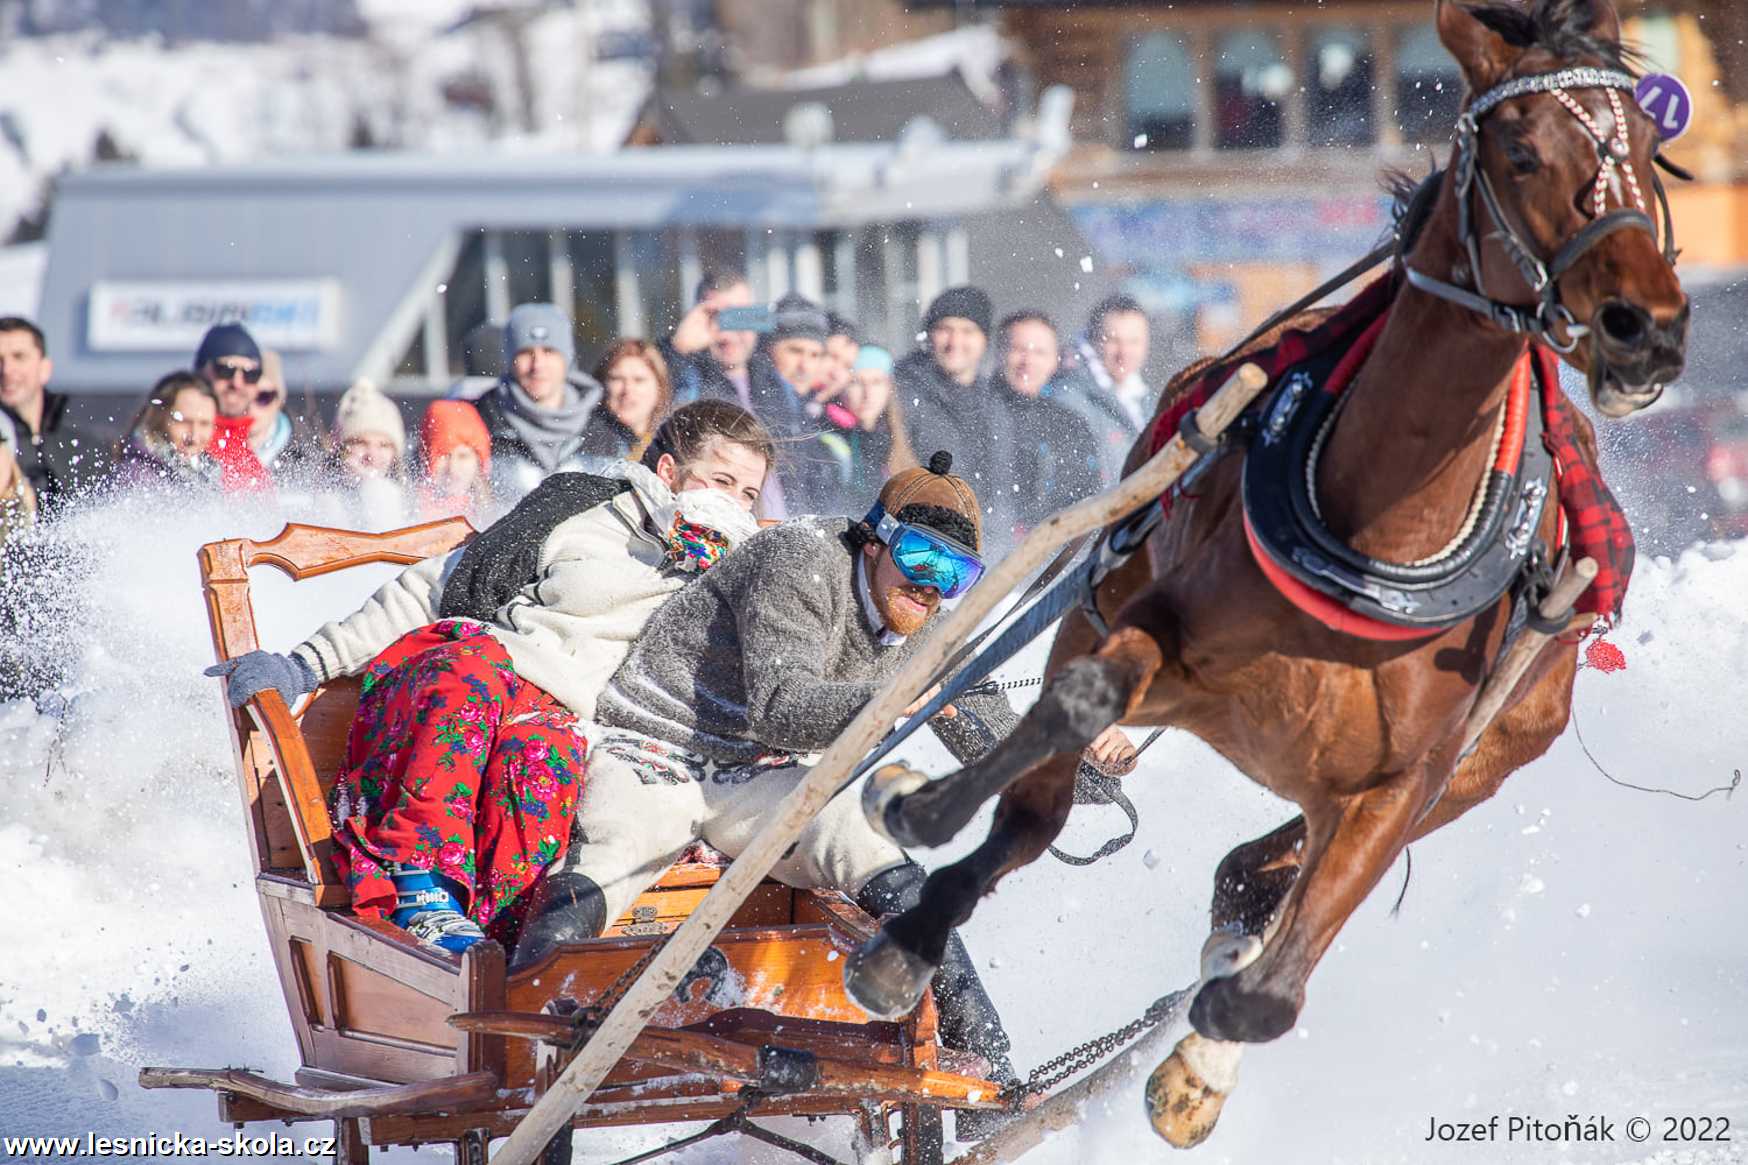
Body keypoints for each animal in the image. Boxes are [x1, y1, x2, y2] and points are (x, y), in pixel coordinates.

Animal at [839, 0, 1685, 1140]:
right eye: (1522, 151)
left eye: (1648, 145)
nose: (1646, 328)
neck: (1376, 532)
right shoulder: (1131, 622)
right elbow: (1061, 730)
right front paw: (918, 848)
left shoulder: (1413, 776)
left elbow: (1268, 993)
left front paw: (1200, 1062)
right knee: (1062, 794)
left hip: (1483, 755)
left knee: (1252, 877)